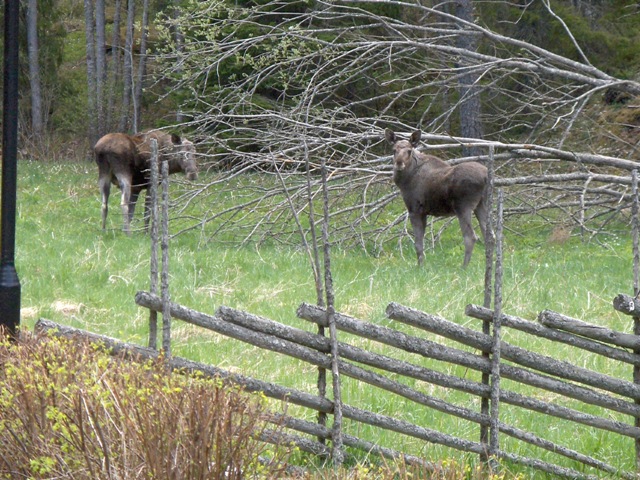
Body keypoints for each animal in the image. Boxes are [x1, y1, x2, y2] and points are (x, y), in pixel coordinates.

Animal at [384, 129, 490, 268]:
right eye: (394, 150)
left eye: (409, 150)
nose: (399, 163)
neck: (404, 181)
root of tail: (486, 177)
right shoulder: (423, 212)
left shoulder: (414, 209)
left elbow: (418, 243)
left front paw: (420, 266)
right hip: (481, 204)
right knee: (490, 235)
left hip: (463, 207)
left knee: (471, 237)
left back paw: (464, 267)